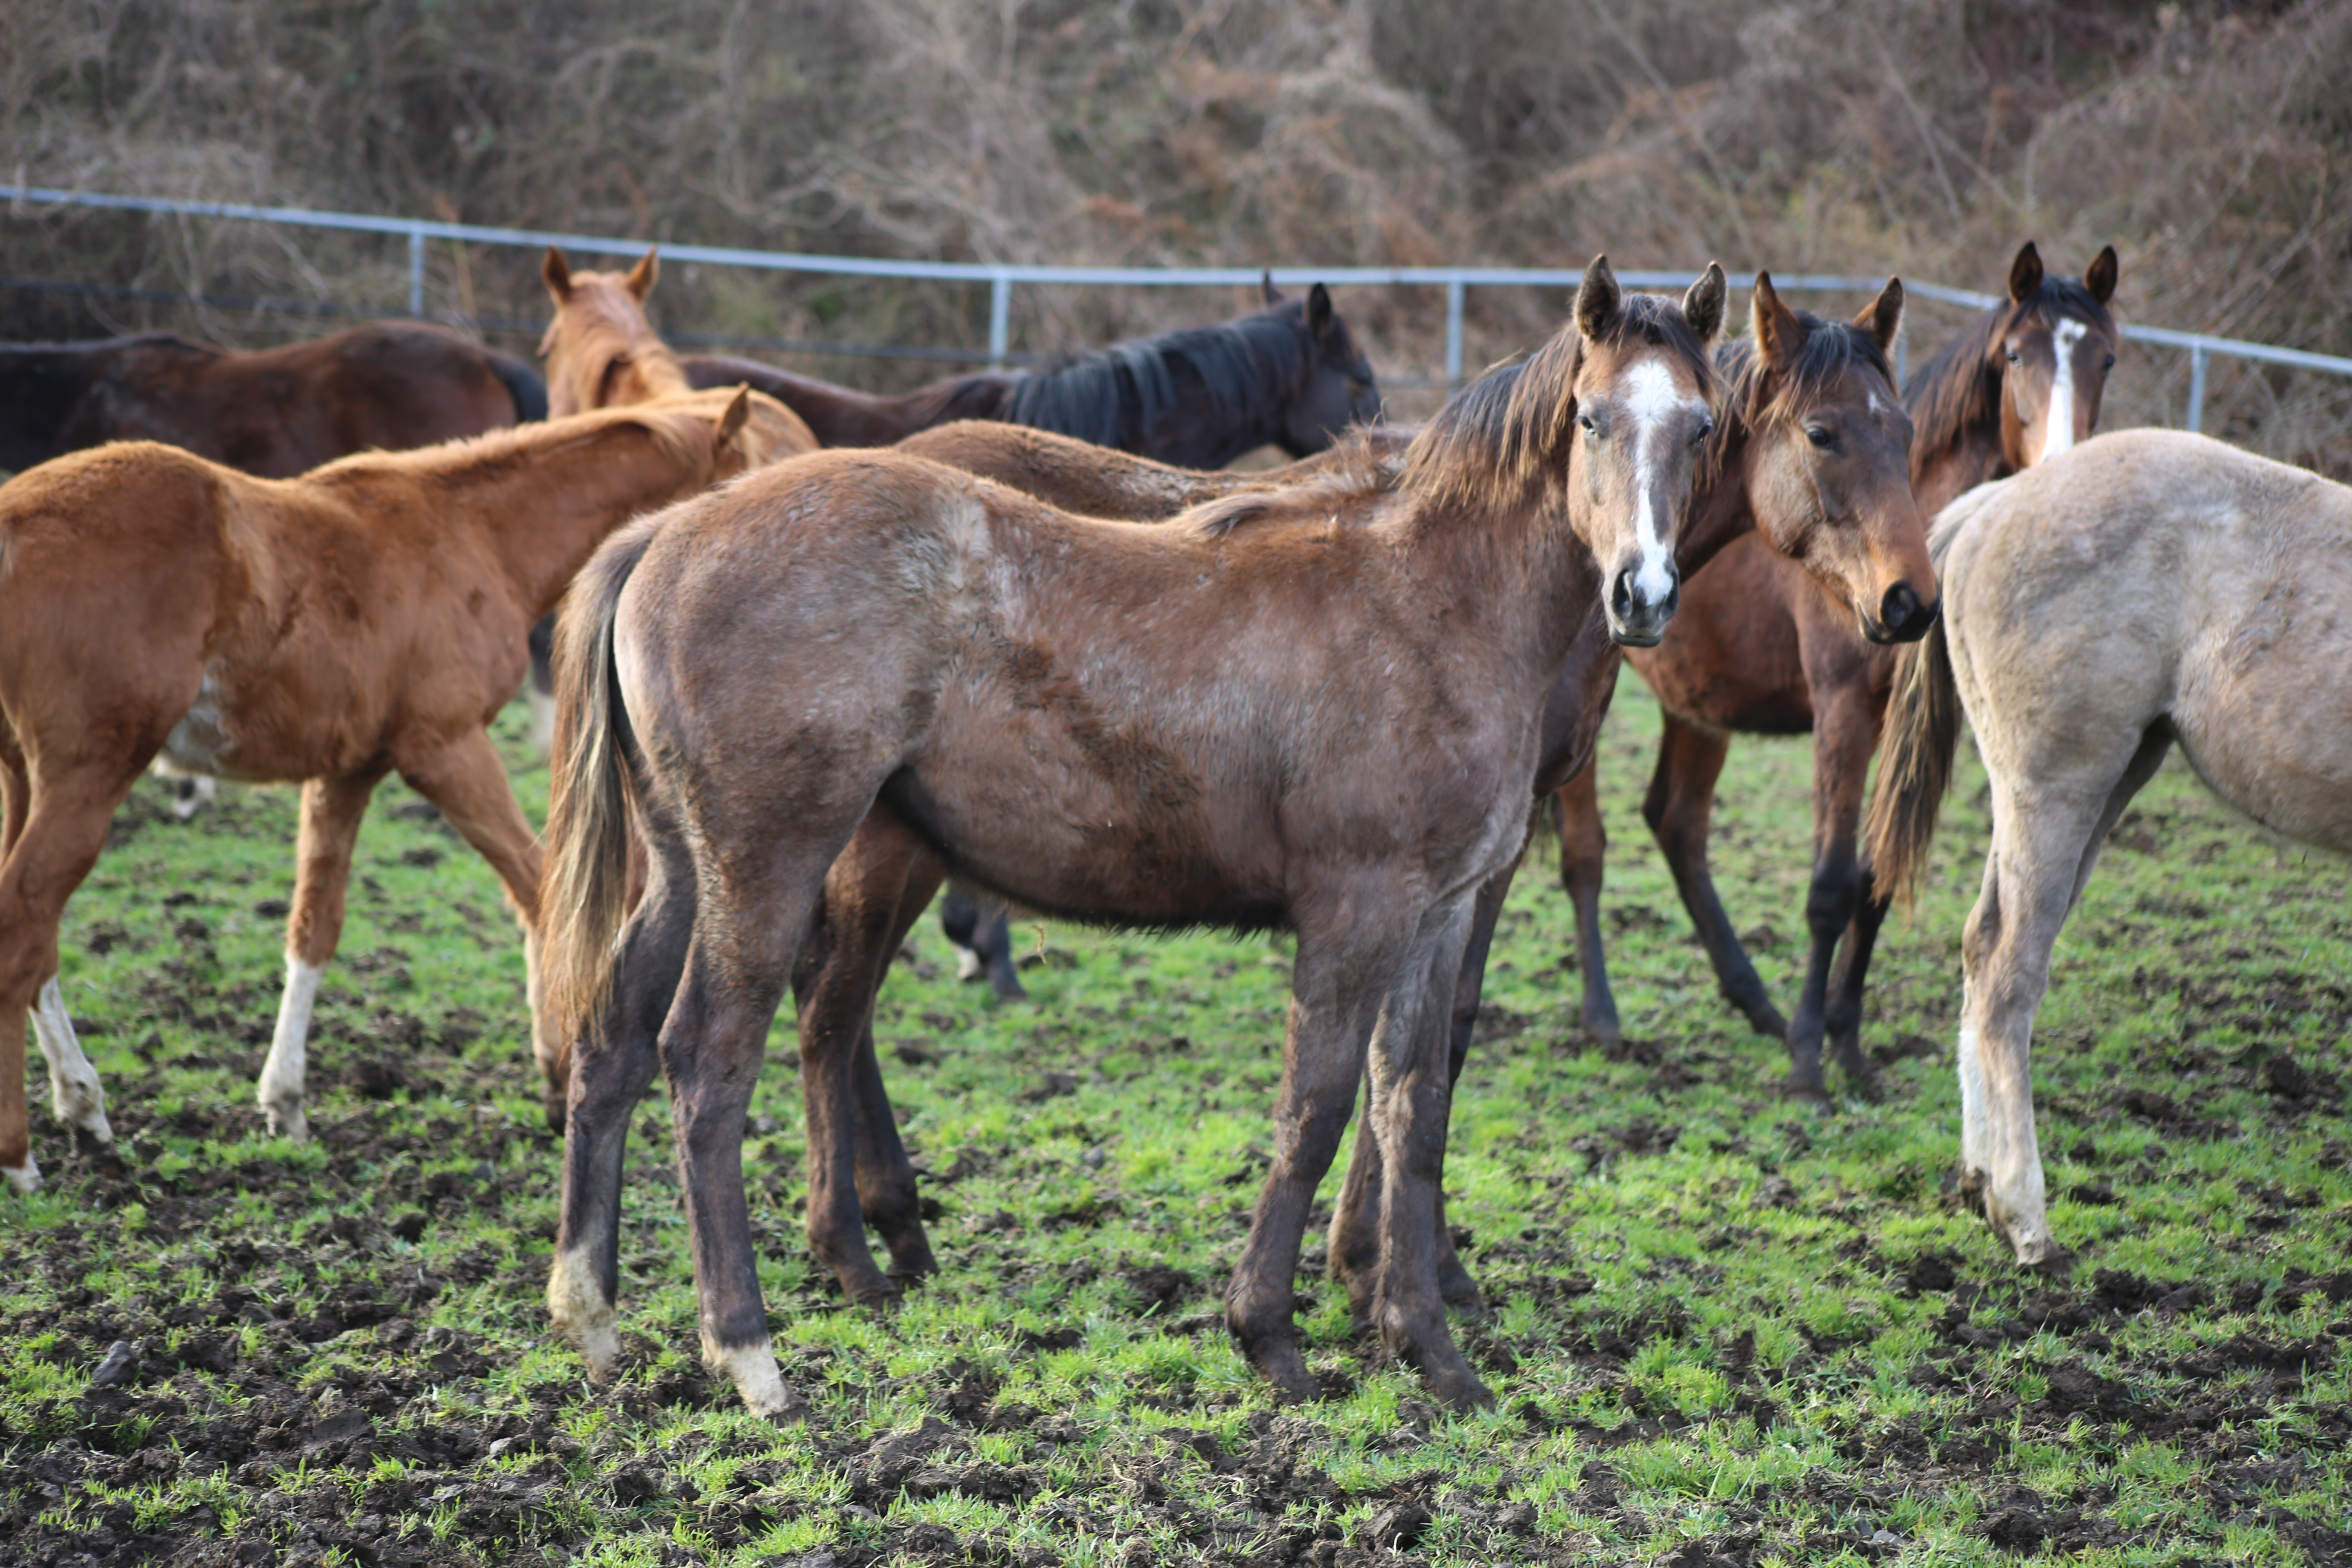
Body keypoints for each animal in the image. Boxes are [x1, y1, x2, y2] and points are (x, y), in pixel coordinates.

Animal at [0, 390, 809, 1189]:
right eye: (765, 466)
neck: (475, 531)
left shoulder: (347, 772)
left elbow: (314, 929)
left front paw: (286, 1104)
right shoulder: (446, 750)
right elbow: (540, 889)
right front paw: (556, 1069)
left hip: (25, 779)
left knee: (36, 941)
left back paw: (85, 1109)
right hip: (90, 774)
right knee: (25, 924)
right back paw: (22, 1158)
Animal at [1552, 248, 2126, 1105]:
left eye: (2107, 360)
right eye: (2018, 356)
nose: (1908, 601)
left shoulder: (1899, 723)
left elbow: (1873, 881)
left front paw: (1847, 1042)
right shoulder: (1843, 714)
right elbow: (1828, 889)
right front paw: (1807, 1060)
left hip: (1700, 707)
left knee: (1677, 824)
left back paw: (1751, 998)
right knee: (1586, 846)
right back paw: (1604, 1016)